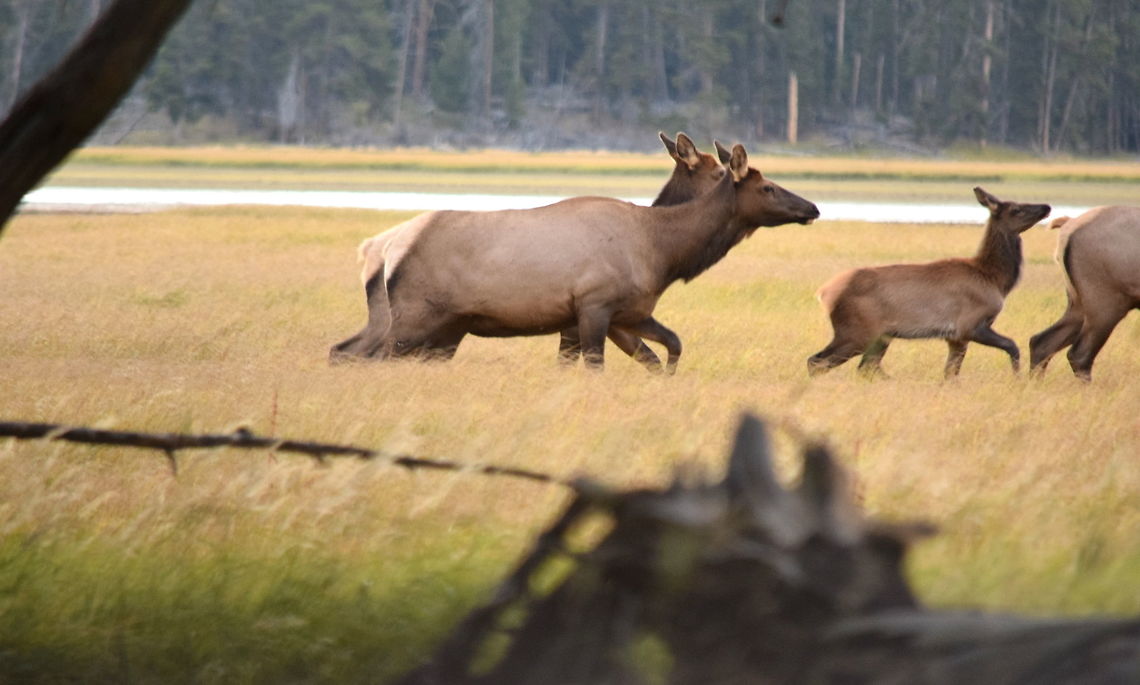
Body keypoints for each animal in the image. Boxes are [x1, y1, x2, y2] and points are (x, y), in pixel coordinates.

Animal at [330, 143, 819, 370]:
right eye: (768, 187)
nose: (812, 207)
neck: (662, 253)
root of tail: (381, 248)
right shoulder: (593, 307)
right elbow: (595, 366)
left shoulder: (627, 314)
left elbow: (669, 349)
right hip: (416, 316)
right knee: (369, 356)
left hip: (419, 322)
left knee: (343, 349)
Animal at [808, 187, 1050, 378]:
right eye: (1016, 209)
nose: (1046, 206)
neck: (994, 278)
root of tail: (824, 293)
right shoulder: (969, 325)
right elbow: (1012, 346)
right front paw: (1017, 377)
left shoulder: (955, 338)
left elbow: (950, 374)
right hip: (857, 331)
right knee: (816, 361)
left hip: (880, 336)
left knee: (865, 368)